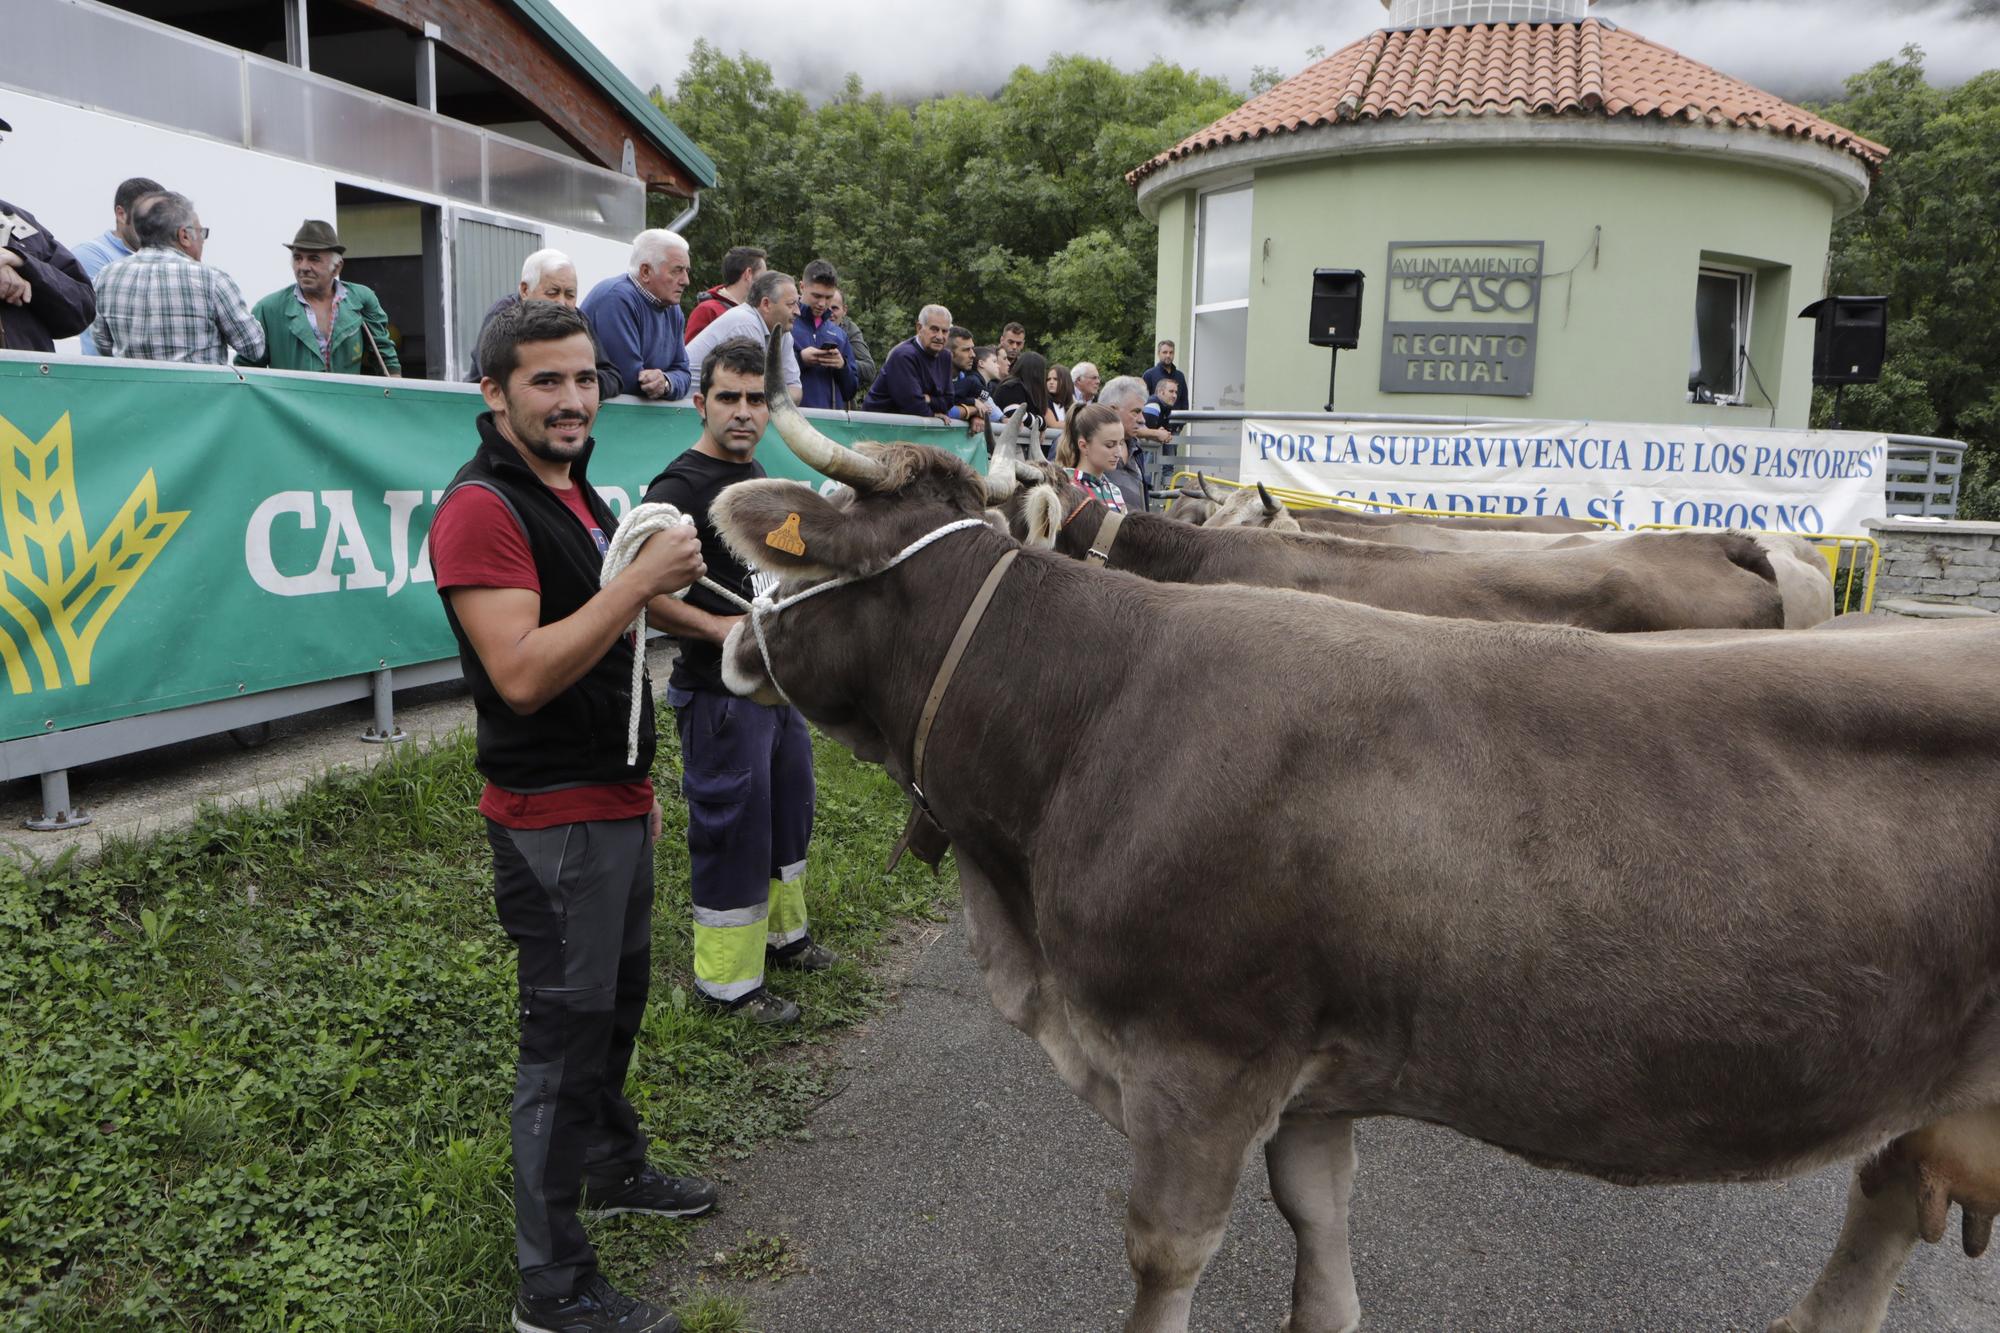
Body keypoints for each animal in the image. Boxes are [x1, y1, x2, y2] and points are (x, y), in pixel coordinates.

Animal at [704, 332, 2000, 1328]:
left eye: (801, 559)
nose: (724, 644)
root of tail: (1738, 536)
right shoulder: (1312, 1074)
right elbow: (1318, 1237)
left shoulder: (1200, 1058)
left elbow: (1162, 1259)